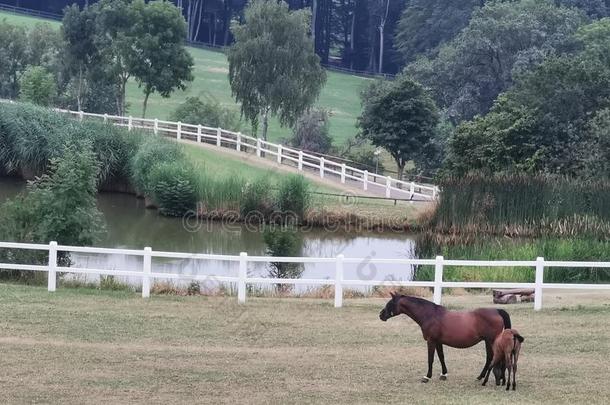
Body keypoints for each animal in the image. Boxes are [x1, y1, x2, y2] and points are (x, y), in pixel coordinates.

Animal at [378, 290, 510, 382]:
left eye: (390, 304)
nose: (381, 315)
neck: (430, 315)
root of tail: (497, 311)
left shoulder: (431, 341)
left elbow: (430, 358)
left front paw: (427, 377)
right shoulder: (438, 341)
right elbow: (441, 357)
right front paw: (443, 374)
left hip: (490, 341)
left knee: (490, 357)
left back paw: (482, 377)